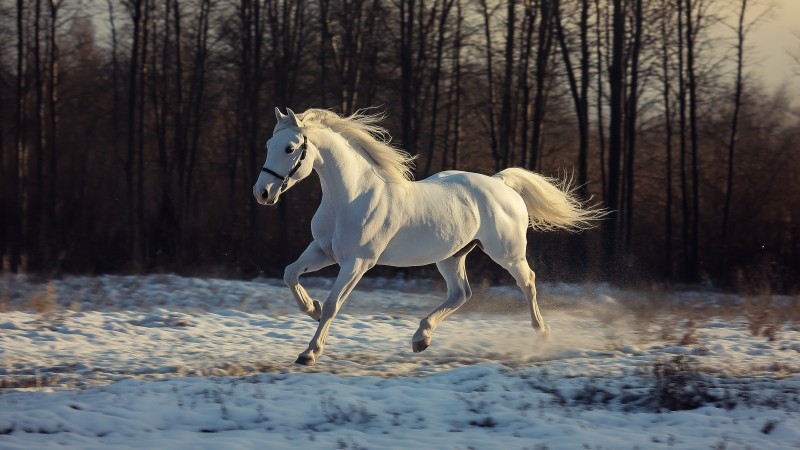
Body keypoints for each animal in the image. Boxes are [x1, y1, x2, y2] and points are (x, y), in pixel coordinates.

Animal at [253, 107, 605, 366]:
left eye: (289, 148)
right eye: (268, 146)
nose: (262, 193)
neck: (350, 198)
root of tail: (500, 183)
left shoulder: (357, 263)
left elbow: (332, 305)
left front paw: (308, 353)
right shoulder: (323, 252)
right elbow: (290, 274)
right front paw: (309, 307)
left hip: (507, 253)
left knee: (528, 282)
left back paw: (541, 332)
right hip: (452, 257)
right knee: (461, 293)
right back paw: (421, 337)